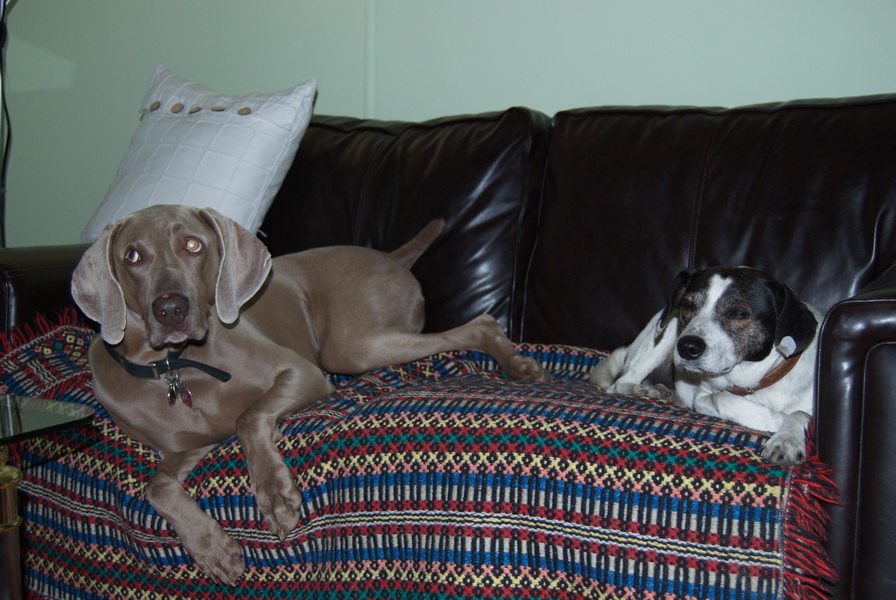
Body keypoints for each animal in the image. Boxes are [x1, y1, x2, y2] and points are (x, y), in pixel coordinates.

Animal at [71, 205, 546, 584]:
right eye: (132, 256)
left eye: (192, 245)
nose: (171, 310)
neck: (176, 367)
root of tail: (389, 256)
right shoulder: (189, 445)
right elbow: (158, 486)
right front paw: (211, 547)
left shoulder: (303, 373)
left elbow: (248, 417)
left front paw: (275, 494)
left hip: (351, 347)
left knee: (480, 323)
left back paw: (518, 364)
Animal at [590, 266, 820, 467]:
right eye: (687, 305)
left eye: (738, 313)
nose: (687, 347)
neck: (756, 382)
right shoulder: (701, 397)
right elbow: (722, 397)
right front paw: (777, 419)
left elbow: (801, 413)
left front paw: (787, 439)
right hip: (665, 332)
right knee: (622, 382)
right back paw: (647, 390)